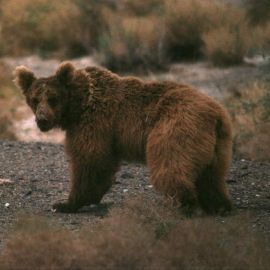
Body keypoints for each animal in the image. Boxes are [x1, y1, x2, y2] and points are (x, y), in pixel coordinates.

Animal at [13, 62, 232, 214]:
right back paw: (219, 204)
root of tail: (217, 113)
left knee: (170, 163)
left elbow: (89, 160)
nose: (42, 119)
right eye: (34, 99)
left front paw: (66, 203)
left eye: (53, 98)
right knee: (211, 175)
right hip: (216, 145)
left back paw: (183, 203)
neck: (79, 106)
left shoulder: (95, 123)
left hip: (175, 127)